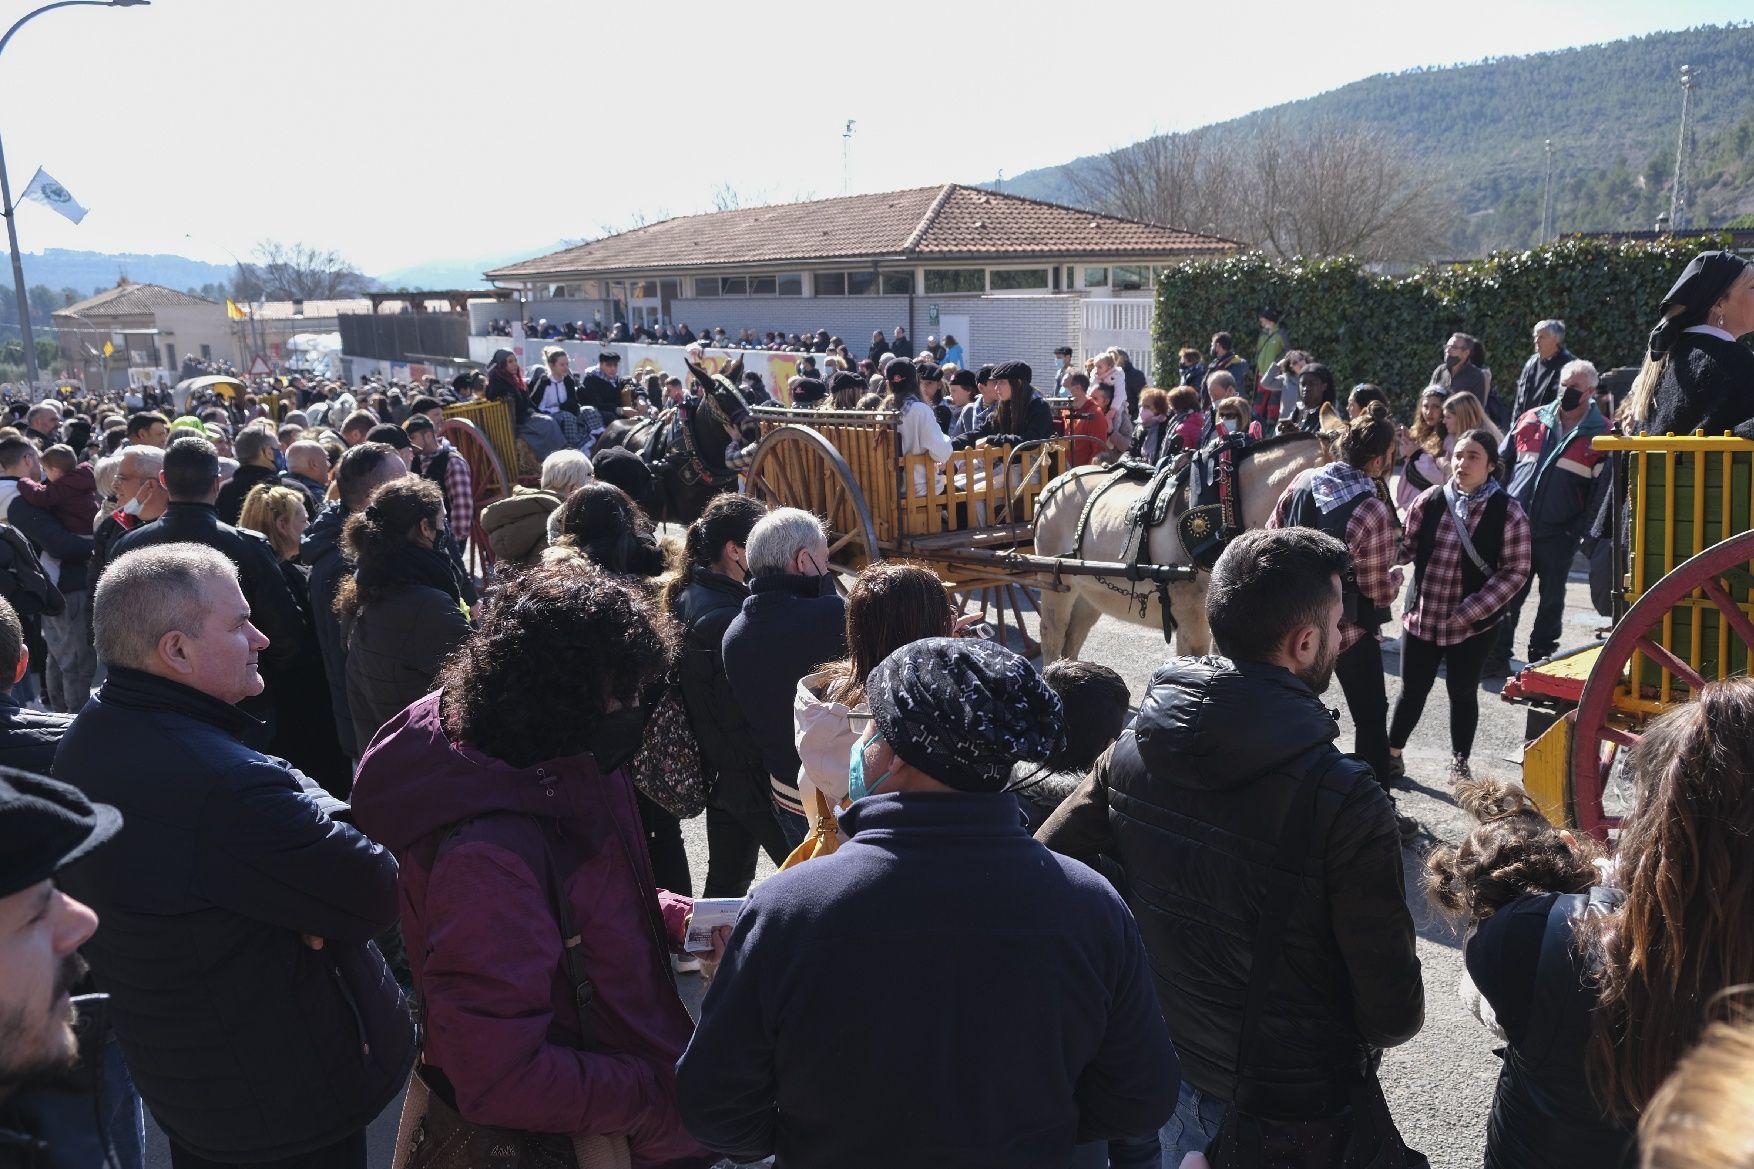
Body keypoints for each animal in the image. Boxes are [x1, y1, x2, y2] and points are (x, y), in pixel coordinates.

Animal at [1031, 428, 1333, 663]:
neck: (1226, 510)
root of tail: (1055, 485)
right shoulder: (1193, 625)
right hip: (1057, 582)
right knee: (1052, 635)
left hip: (1090, 589)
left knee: (1072, 639)